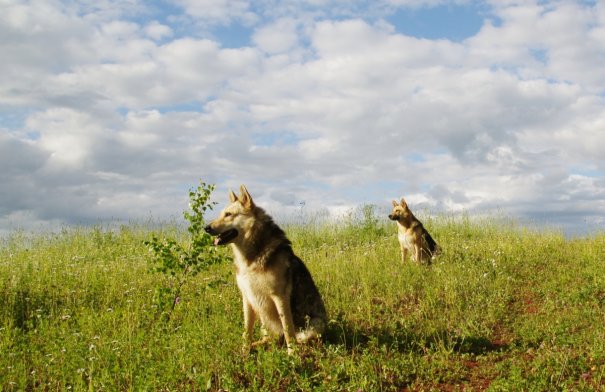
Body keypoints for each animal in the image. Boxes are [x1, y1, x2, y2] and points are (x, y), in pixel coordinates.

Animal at [203, 185, 326, 354]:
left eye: (228, 214)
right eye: (221, 214)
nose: (206, 228)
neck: (252, 257)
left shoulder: (279, 297)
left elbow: (288, 330)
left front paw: (292, 355)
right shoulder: (247, 298)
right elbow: (246, 331)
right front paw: (245, 351)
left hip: (313, 326)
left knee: (297, 338)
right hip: (263, 318)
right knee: (271, 338)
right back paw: (256, 345)